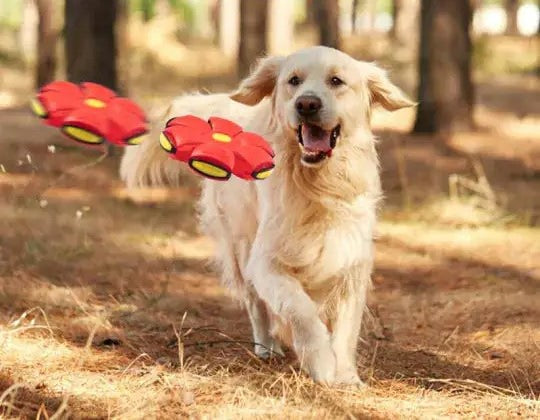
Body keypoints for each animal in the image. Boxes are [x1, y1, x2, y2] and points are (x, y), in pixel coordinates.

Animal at [120, 46, 412, 388]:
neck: (317, 185)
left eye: (336, 81)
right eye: (293, 81)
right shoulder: (266, 261)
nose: (307, 104)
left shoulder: (351, 261)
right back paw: (266, 347)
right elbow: (300, 309)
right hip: (240, 244)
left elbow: (345, 329)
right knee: (255, 303)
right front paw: (321, 362)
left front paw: (346, 375)